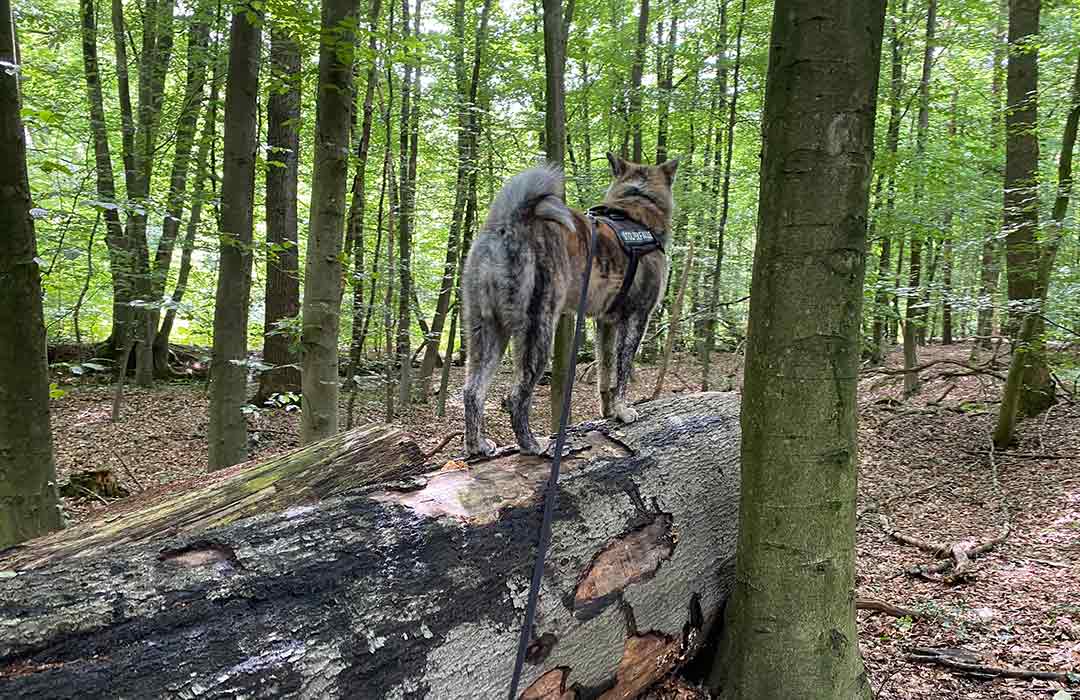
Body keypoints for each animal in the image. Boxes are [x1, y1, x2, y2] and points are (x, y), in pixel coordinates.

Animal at [460, 152, 678, 455]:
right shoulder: (636, 318)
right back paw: (531, 444)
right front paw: (623, 411)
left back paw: (477, 445)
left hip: (487, 331)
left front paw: (608, 411)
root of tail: (509, 222)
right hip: (538, 332)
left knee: (473, 391)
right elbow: (623, 371)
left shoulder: (605, 324)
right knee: (516, 396)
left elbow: (605, 371)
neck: (637, 202)